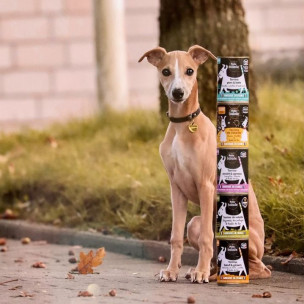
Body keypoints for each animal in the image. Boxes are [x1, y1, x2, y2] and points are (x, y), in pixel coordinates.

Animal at [138, 44, 270, 282]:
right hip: (195, 222)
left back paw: (212, 273)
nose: (178, 93)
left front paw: (200, 272)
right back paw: (207, 271)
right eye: (165, 71)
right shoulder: (176, 188)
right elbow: (175, 236)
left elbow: (208, 238)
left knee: (258, 268)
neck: (183, 125)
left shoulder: (206, 185)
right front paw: (171, 271)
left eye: (190, 71)